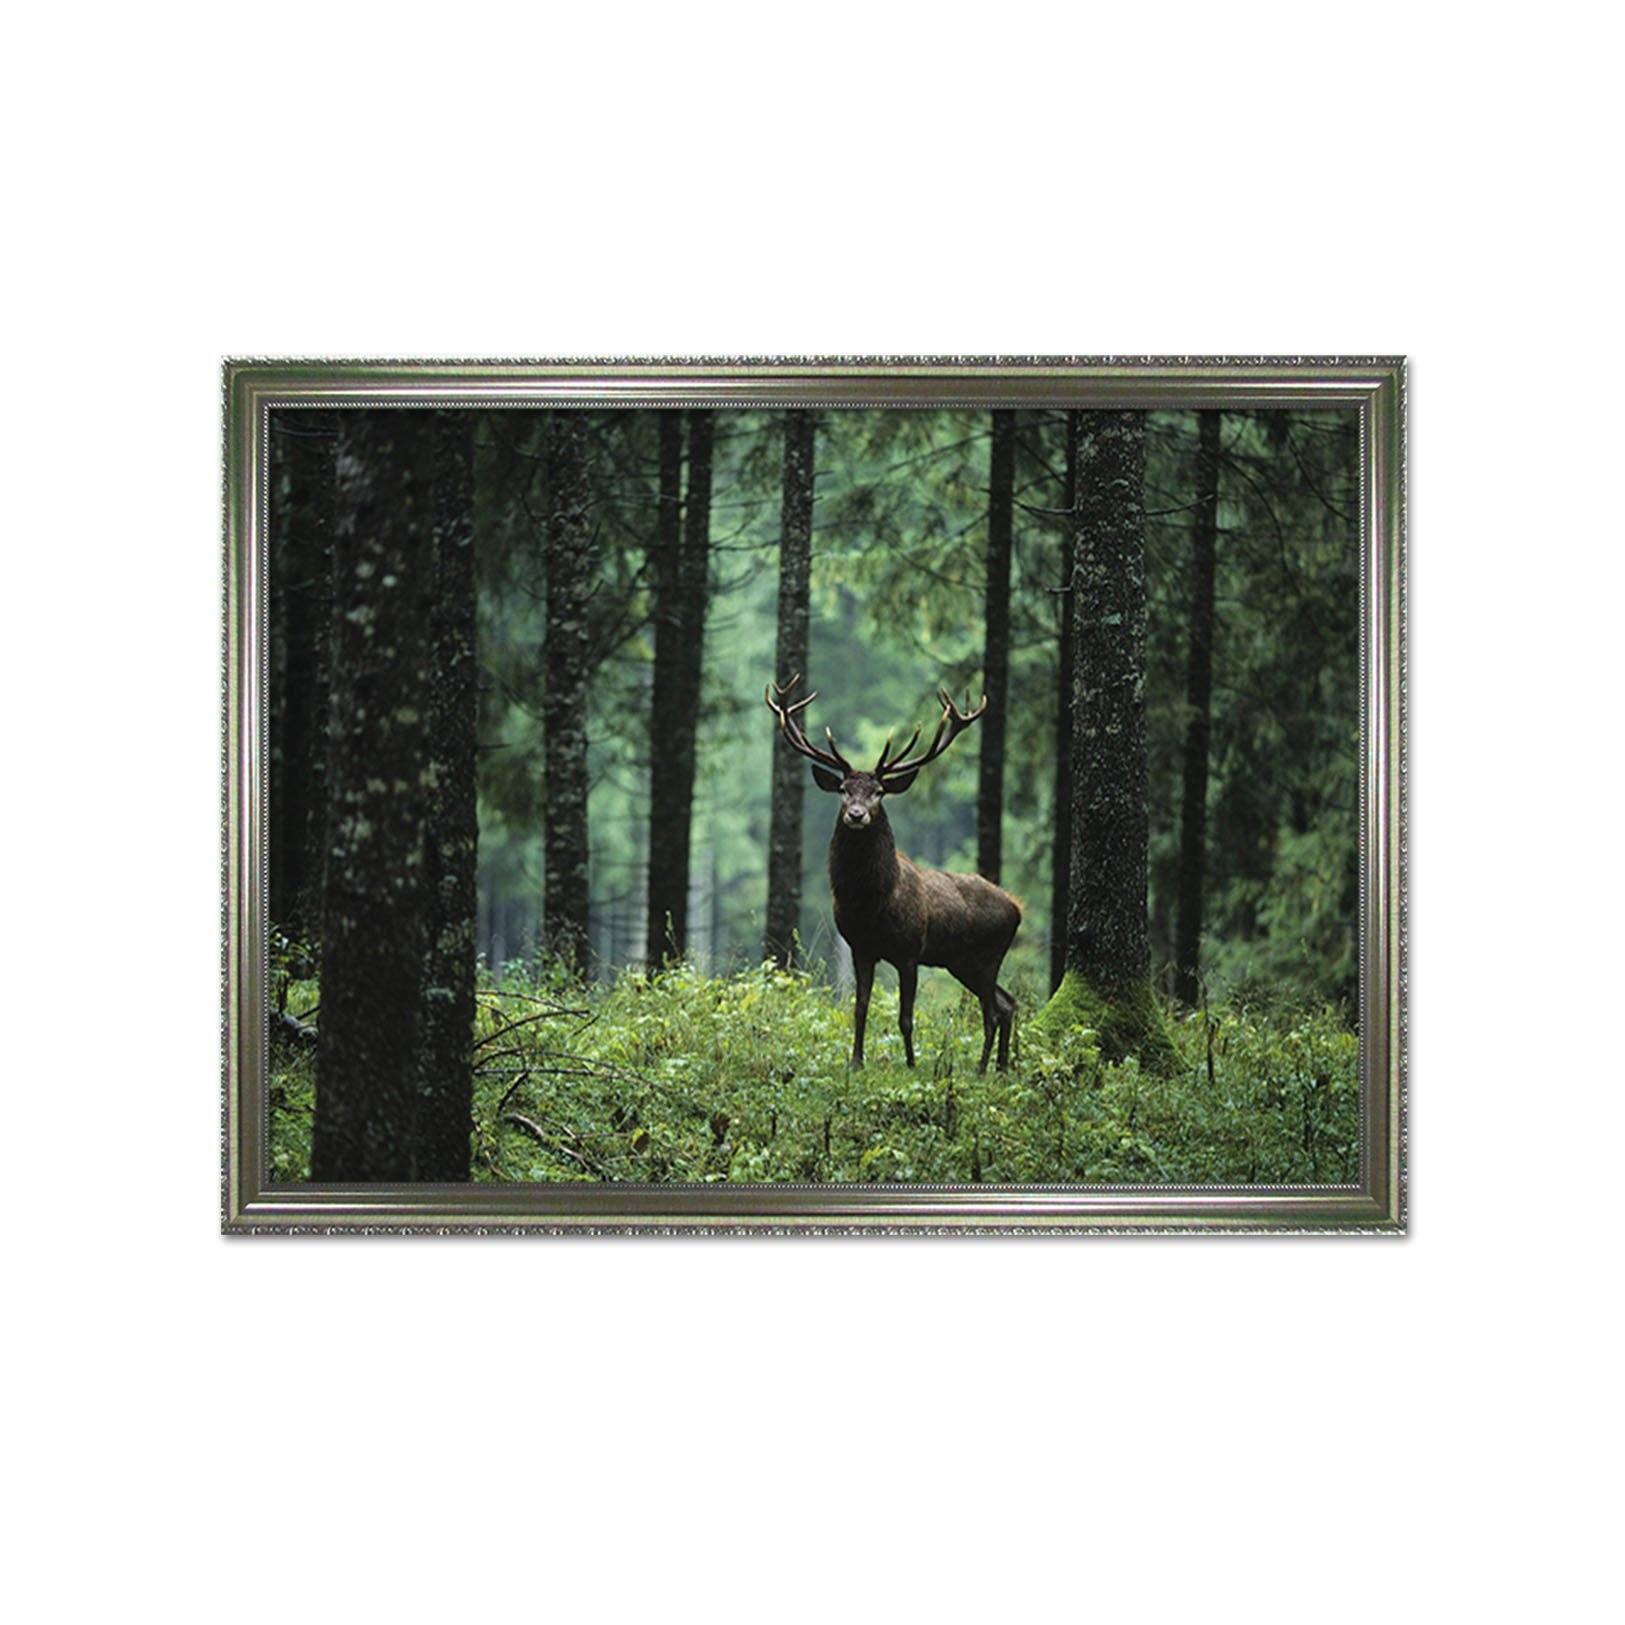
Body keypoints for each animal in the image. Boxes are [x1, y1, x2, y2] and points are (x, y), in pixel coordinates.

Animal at [765, 675, 1023, 1072]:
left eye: (879, 792)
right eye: (843, 790)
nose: (856, 814)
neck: (871, 903)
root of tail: (1016, 908)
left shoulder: (909, 952)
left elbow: (906, 1016)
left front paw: (912, 1064)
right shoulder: (861, 947)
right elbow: (860, 1007)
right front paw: (856, 1062)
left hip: (987, 955)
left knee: (994, 1010)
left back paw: (983, 1068)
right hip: (961, 961)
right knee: (1007, 1003)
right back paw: (999, 1068)